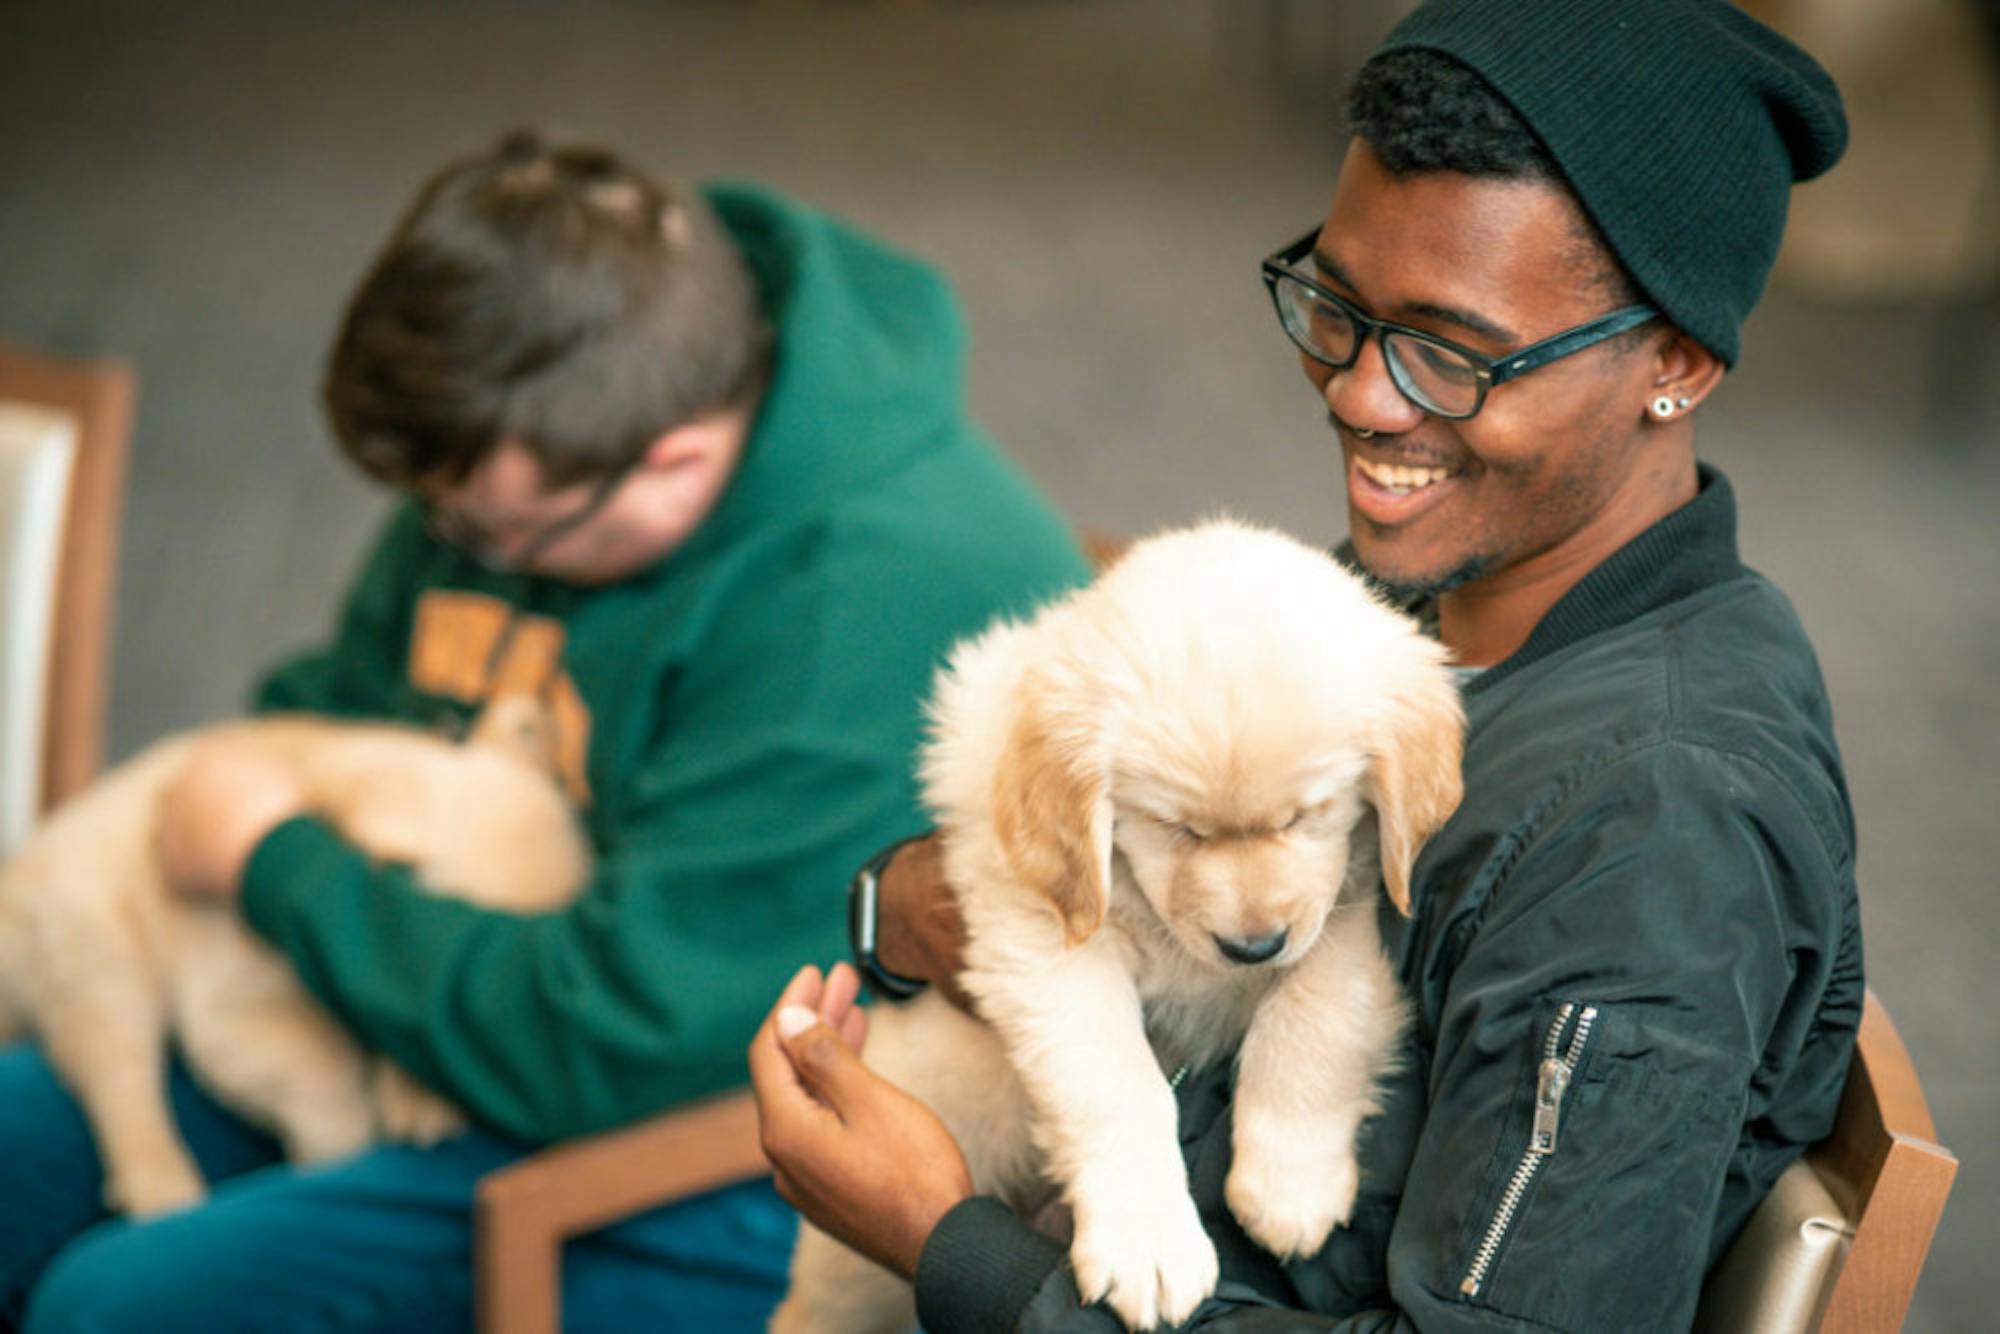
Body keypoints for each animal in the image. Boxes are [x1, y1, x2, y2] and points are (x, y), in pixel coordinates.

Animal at [0, 700, 588, 1224]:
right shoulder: (236, 1016)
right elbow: (332, 1084)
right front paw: (345, 1142)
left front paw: (419, 1100)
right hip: (98, 958)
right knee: (122, 1087)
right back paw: (164, 1188)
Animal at [772, 520, 1464, 1334]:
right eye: (1176, 828)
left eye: (1307, 814)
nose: (1253, 947)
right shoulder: (1043, 943)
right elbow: (1116, 1084)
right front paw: (1150, 1245)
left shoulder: (1354, 906)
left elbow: (1316, 1014)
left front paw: (1289, 1184)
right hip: (857, 1271)